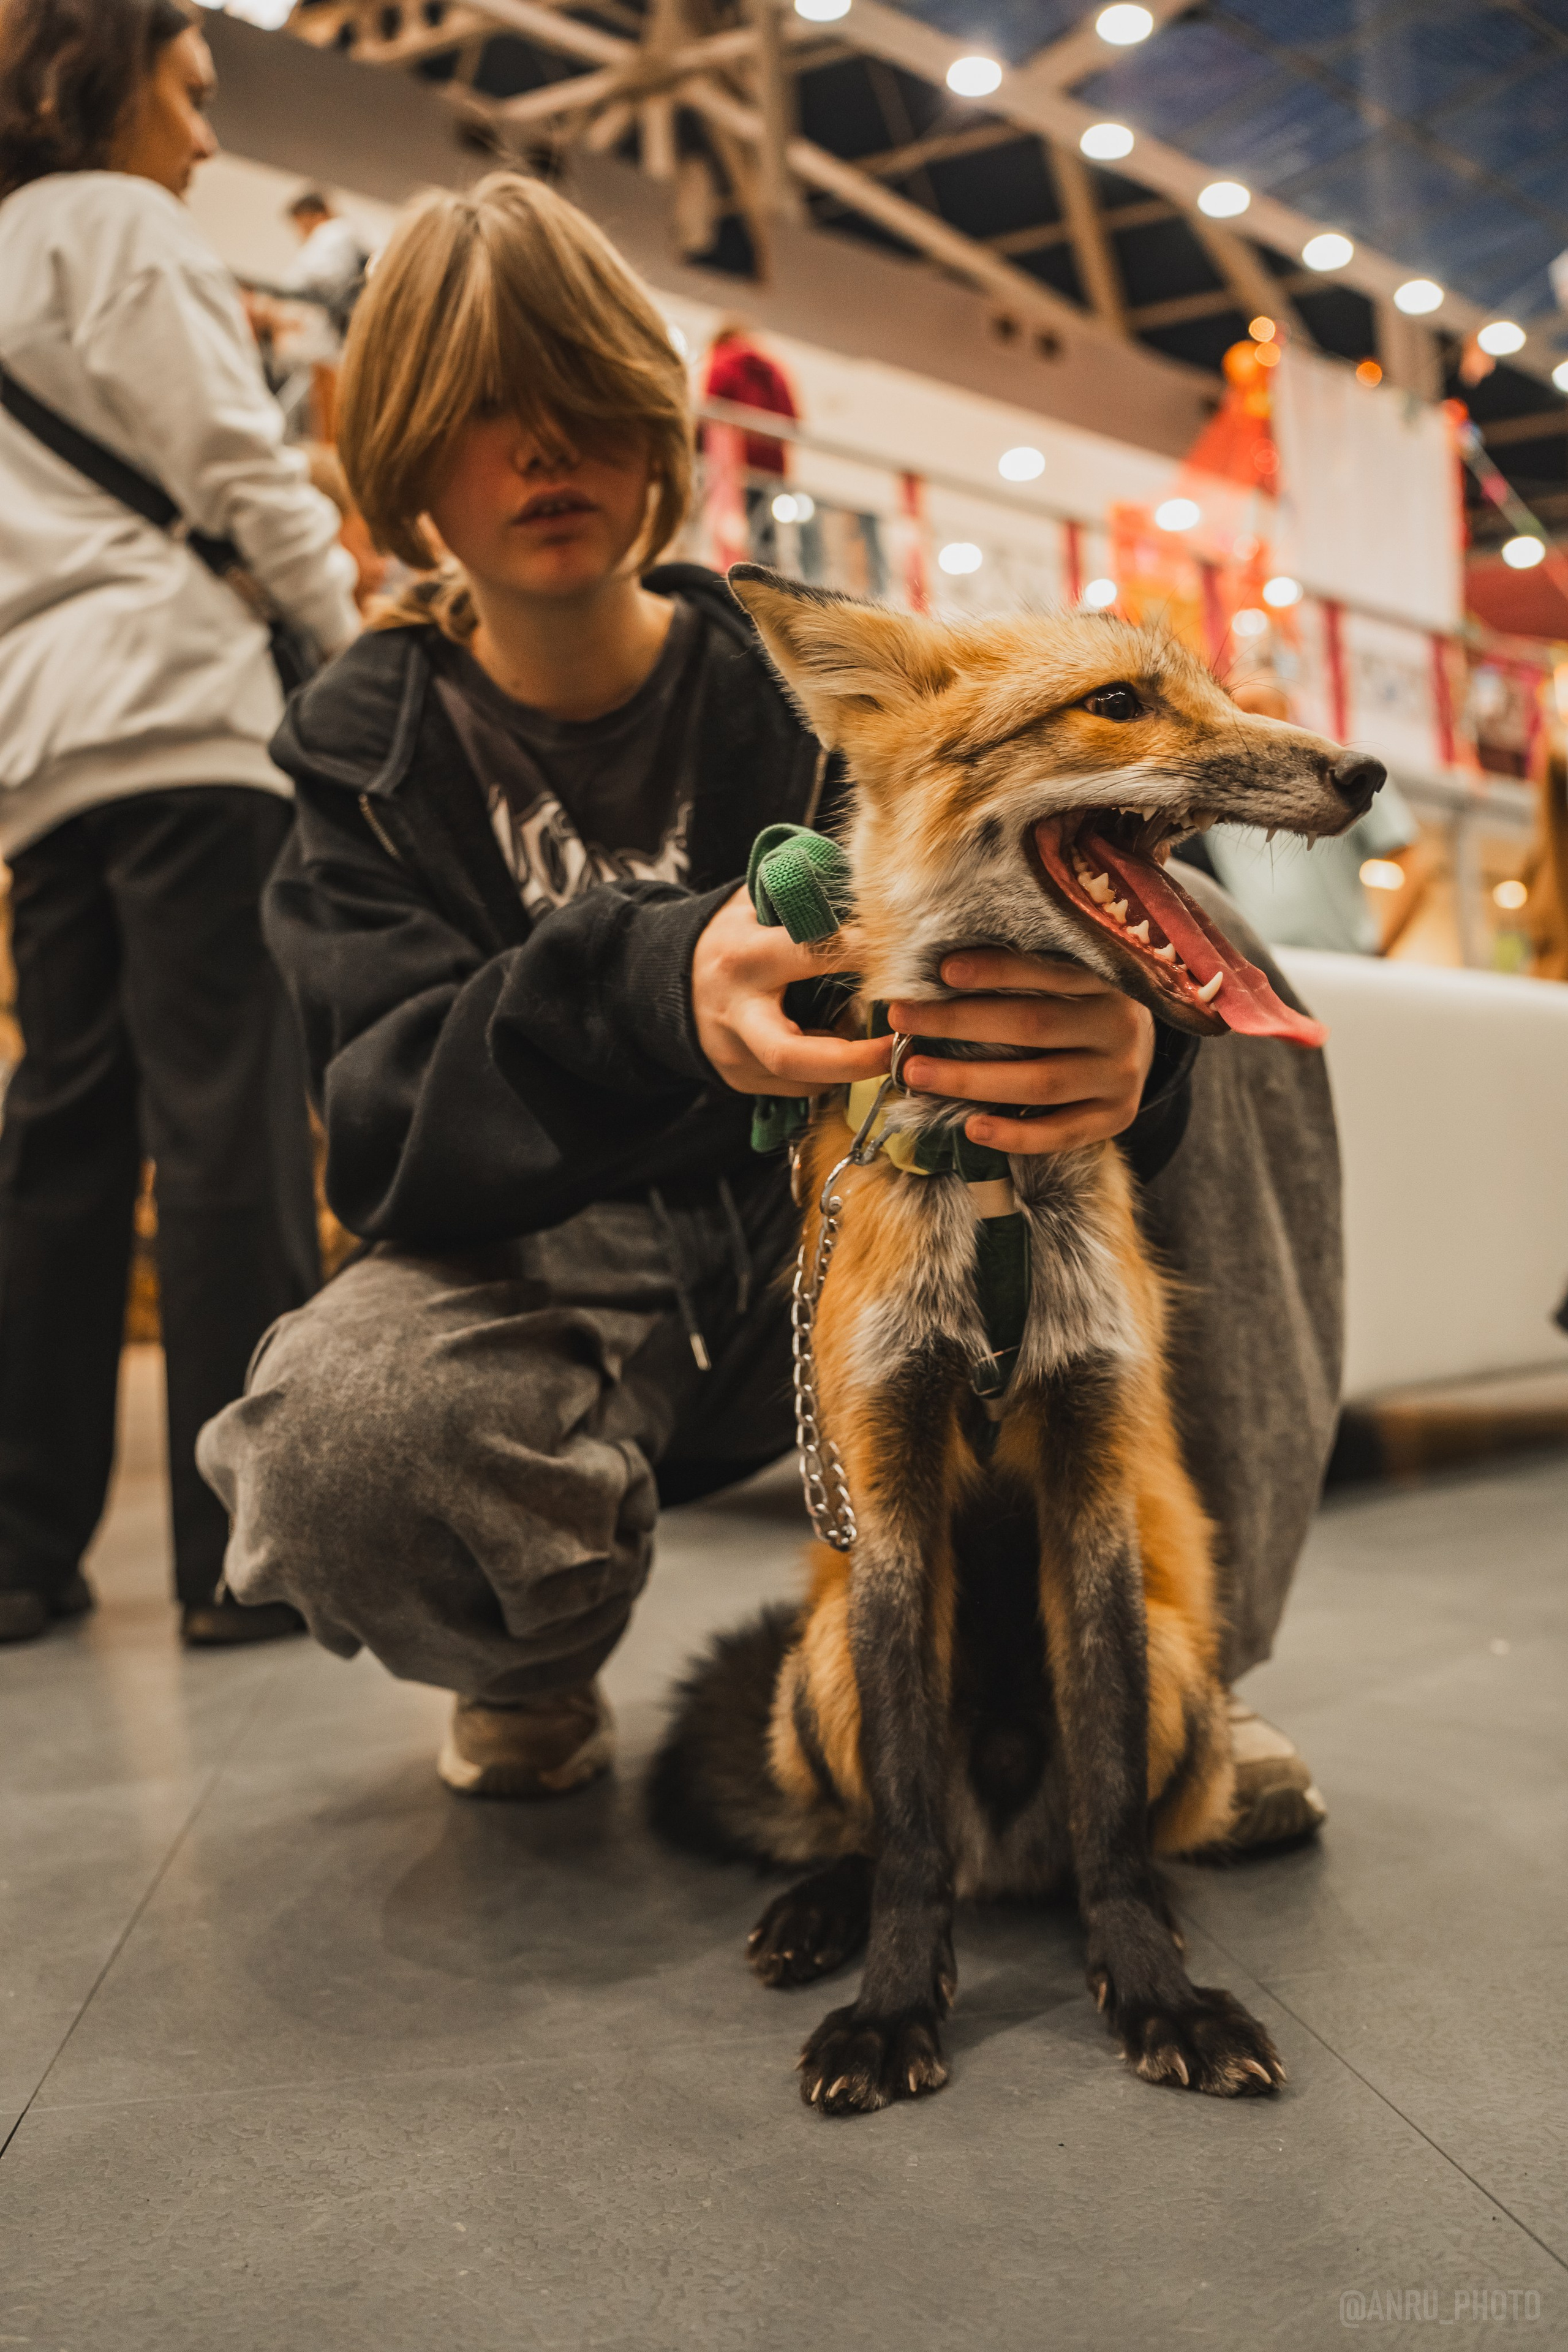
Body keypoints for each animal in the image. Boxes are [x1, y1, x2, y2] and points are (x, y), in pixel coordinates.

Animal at [650, 567, 1384, 2116]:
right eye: (1116, 702)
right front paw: (888, 2003)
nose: (1362, 772)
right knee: (871, 1827)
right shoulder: (886, 1477)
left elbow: (1105, 1812)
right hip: (823, 1663)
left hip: (1175, 1666)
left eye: (1216, 687)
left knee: (1122, 1834)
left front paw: (1152, 1990)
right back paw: (820, 1909)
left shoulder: (1089, 1467)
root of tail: (1004, 1853)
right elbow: (907, 1830)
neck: (990, 1179)